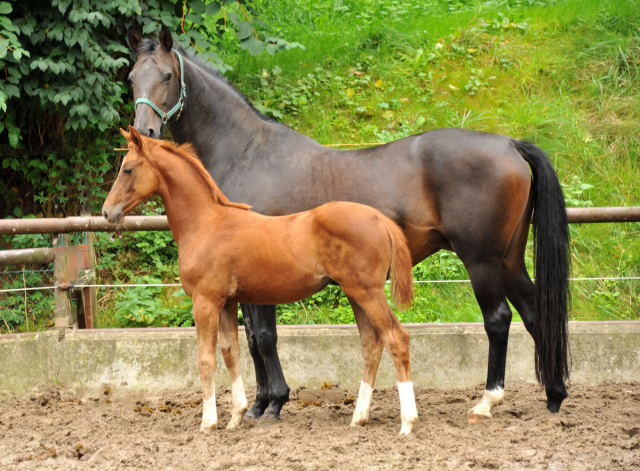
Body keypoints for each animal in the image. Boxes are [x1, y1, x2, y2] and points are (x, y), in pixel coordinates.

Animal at [102, 128, 418, 436]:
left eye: (128, 169)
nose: (107, 212)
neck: (206, 224)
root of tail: (379, 219)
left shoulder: (205, 302)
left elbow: (205, 358)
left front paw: (208, 423)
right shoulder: (228, 303)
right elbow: (231, 352)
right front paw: (236, 417)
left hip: (367, 292)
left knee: (396, 338)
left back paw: (407, 422)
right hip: (356, 294)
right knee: (372, 344)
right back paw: (358, 418)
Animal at [125, 25, 568, 424]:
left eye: (167, 75)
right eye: (132, 77)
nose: (145, 131)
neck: (249, 153)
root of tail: (510, 144)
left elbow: (264, 338)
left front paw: (273, 403)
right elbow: (251, 340)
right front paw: (259, 404)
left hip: (481, 261)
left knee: (498, 319)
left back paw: (487, 401)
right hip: (509, 259)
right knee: (534, 314)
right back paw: (554, 396)